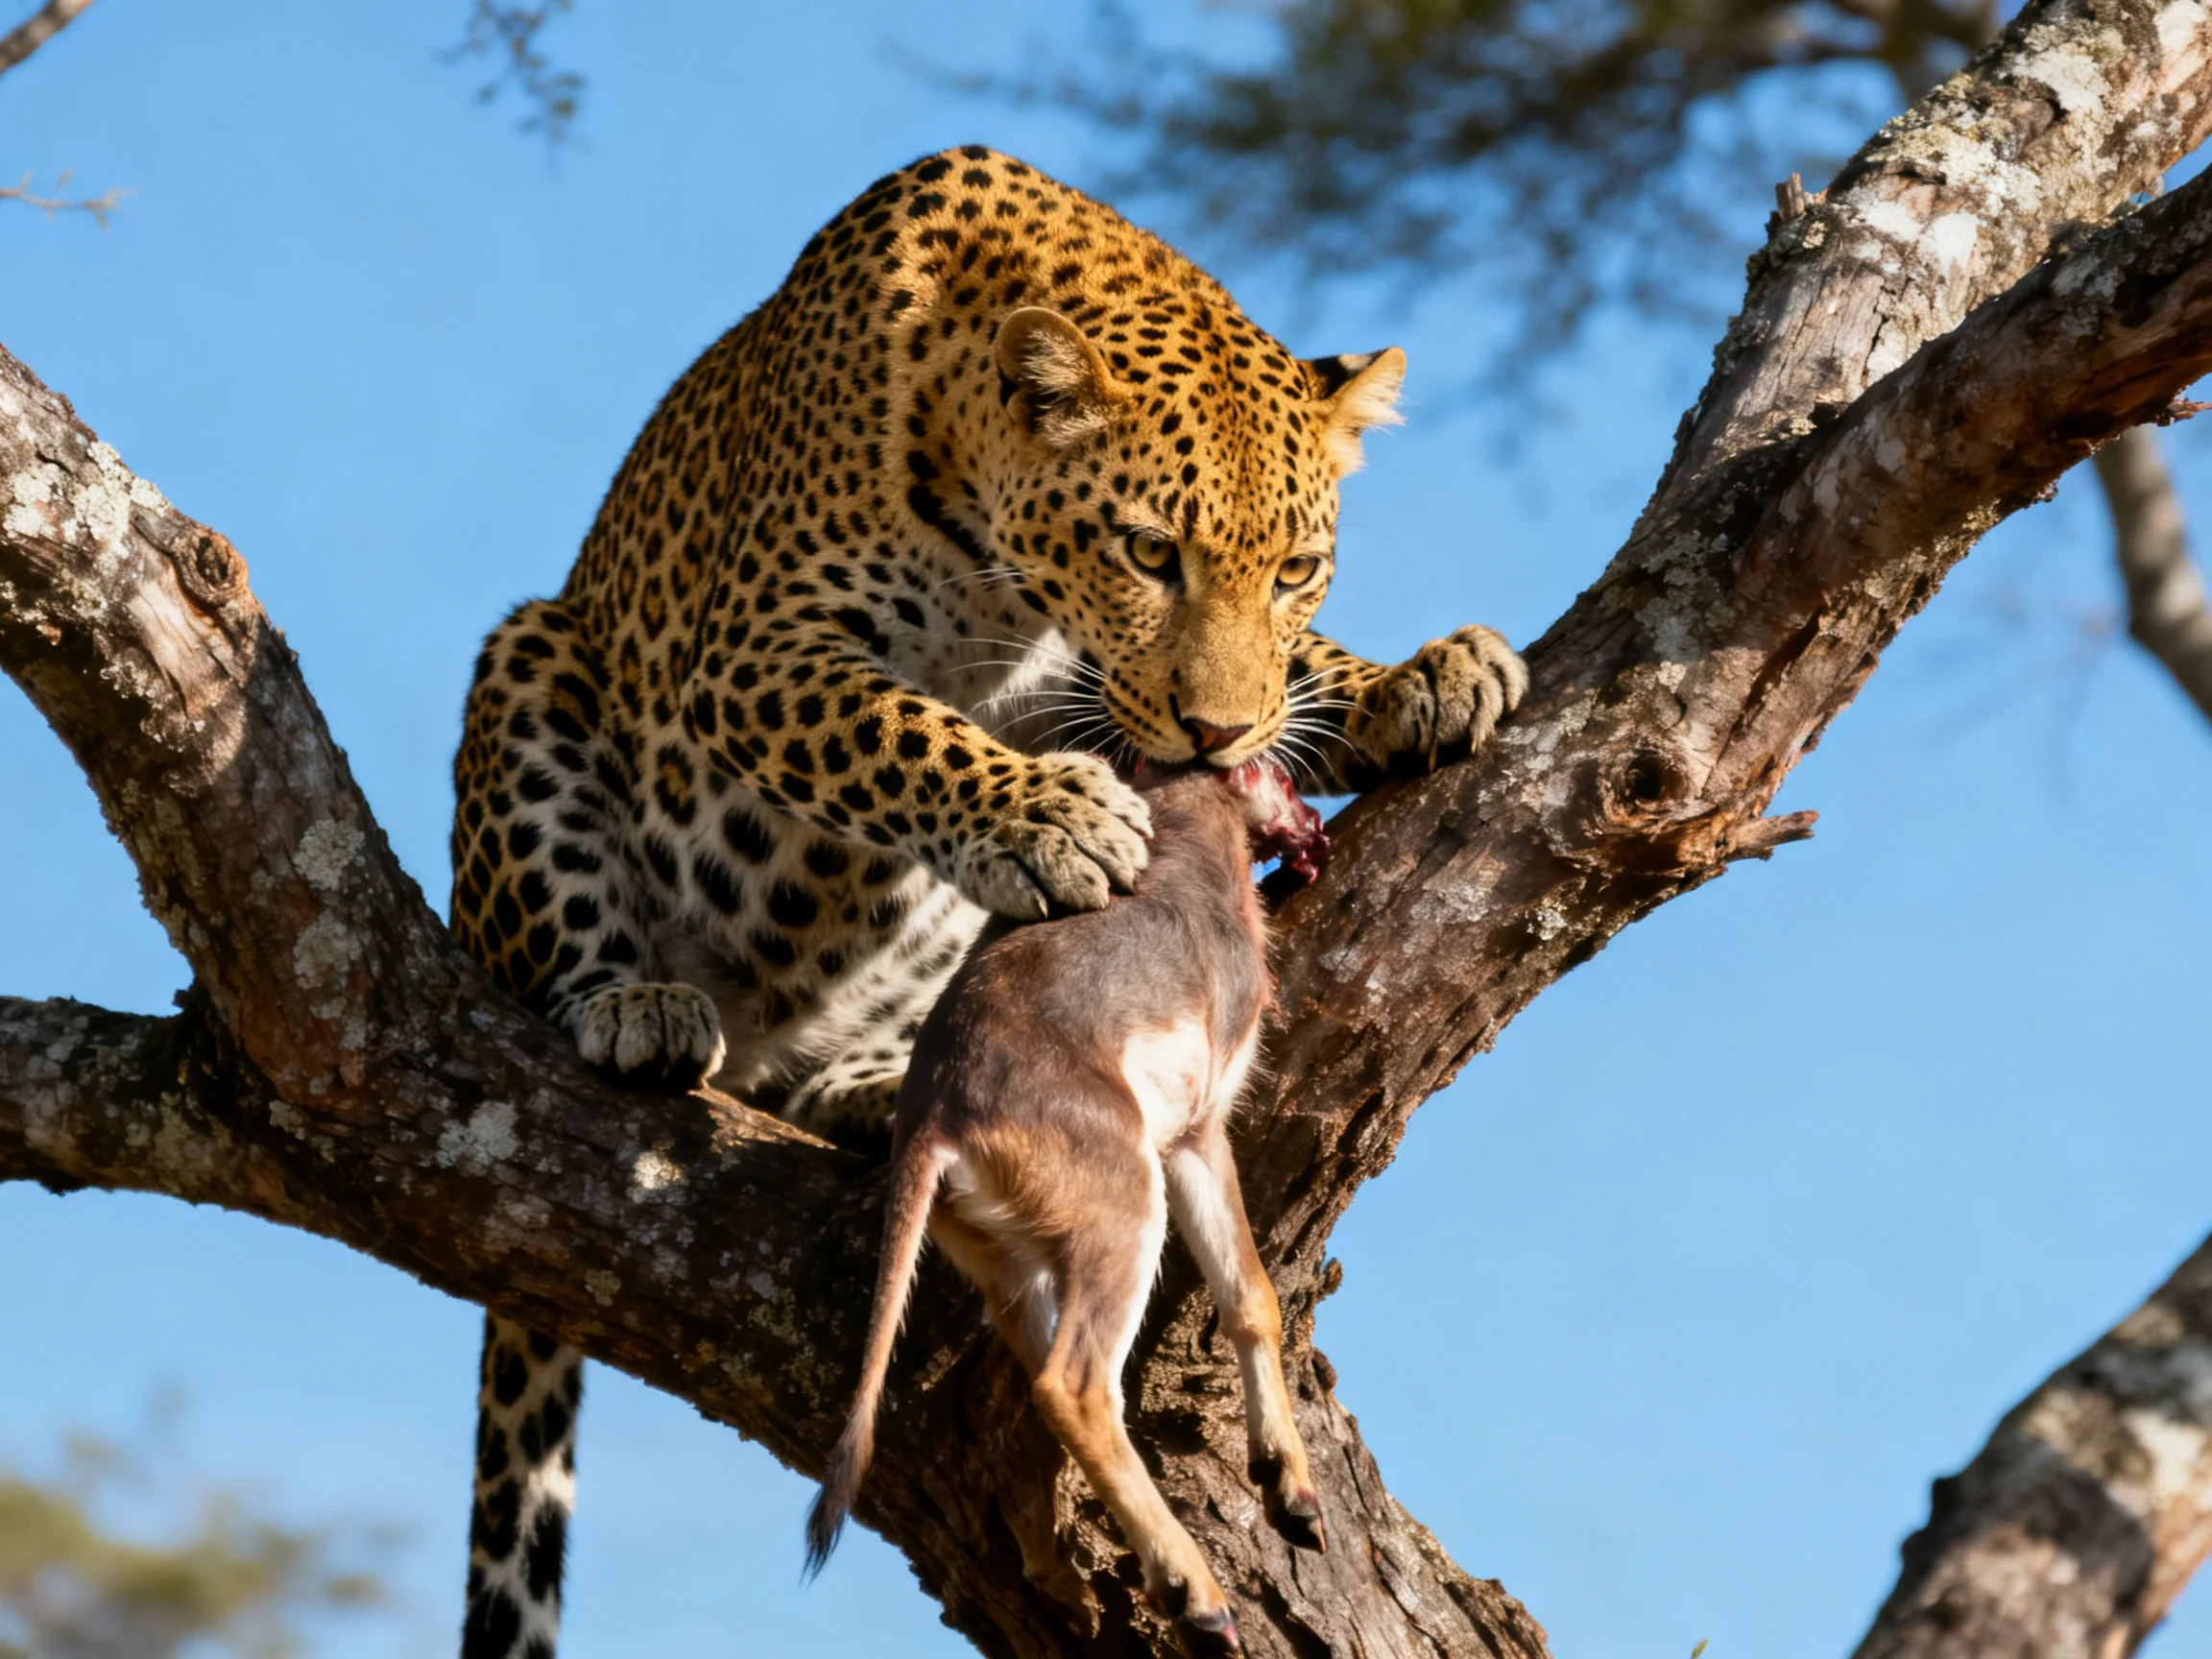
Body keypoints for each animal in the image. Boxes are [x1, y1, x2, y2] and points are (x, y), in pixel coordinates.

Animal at [445, 145, 1526, 1658]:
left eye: (1295, 567)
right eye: (1148, 552)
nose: (1214, 733)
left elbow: (1291, 671)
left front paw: (1414, 679)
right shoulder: (762, 649)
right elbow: (900, 730)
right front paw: (1053, 813)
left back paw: (863, 1085)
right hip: (532, 668)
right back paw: (638, 1007)